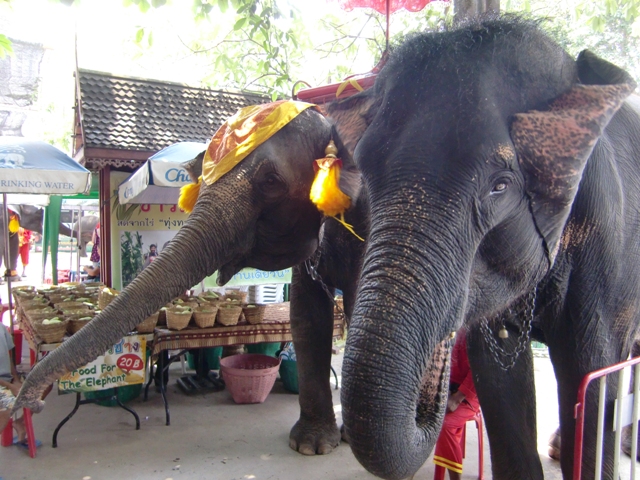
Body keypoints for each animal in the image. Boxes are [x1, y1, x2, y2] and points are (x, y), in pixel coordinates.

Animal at [12, 15, 640, 480]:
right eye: (194, 179)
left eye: (269, 183)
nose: (26, 401)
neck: (336, 108)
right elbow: (305, 310)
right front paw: (313, 445)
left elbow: (587, 362)